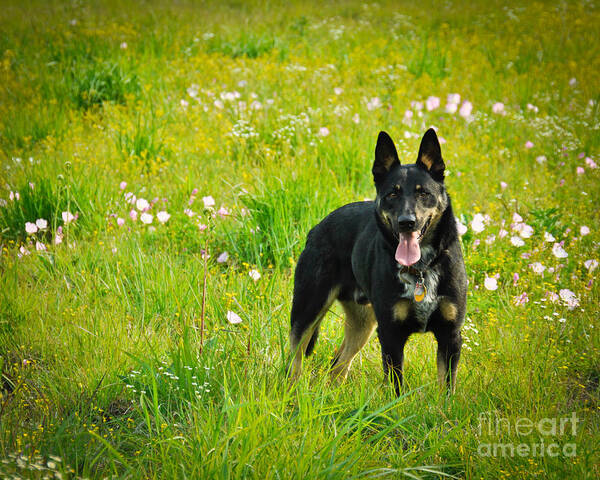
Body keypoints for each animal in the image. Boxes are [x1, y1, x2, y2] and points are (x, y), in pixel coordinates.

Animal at [288, 128, 466, 394]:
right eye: (392, 193)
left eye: (423, 193)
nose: (406, 222)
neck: (422, 269)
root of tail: (318, 227)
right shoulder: (391, 334)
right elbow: (395, 386)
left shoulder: (450, 335)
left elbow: (447, 387)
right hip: (309, 307)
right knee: (295, 358)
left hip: (362, 323)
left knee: (338, 365)